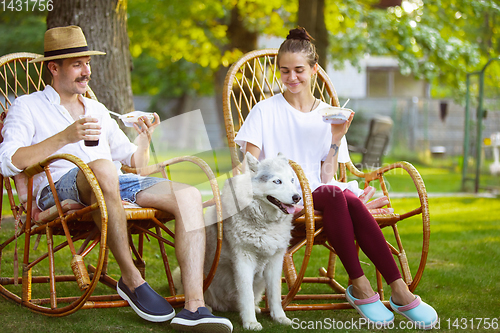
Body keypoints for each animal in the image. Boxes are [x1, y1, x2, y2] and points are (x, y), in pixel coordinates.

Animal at [203, 152, 300, 330]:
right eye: (277, 181)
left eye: (292, 180)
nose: (297, 197)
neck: (266, 223)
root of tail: (224, 306)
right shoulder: (243, 261)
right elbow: (246, 294)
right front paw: (250, 322)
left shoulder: (275, 262)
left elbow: (275, 294)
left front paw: (280, 318)